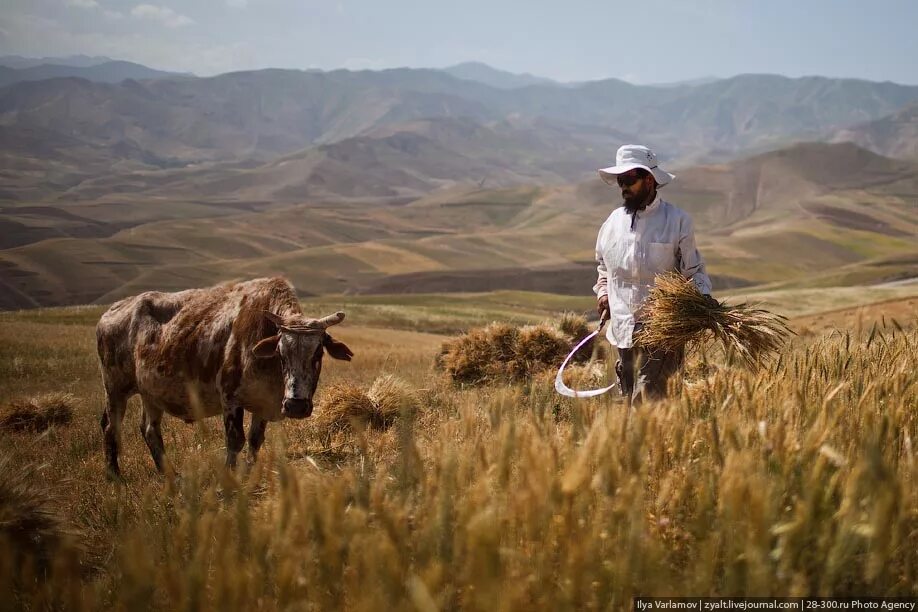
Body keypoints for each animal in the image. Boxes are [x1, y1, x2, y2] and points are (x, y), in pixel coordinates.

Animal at [93, 274, 352, 476]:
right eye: (281, 352)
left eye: (318, 352)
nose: (296, 406)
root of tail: (111, 311)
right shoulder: (230, 398)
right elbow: (235, 440)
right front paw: (230, 477)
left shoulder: (263, 403)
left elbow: (255, 440)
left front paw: (249, 475)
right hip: (114, 389)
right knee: (111, 427)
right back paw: (113, 475)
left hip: (151, 394)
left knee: (149, 430)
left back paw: (169, 474)